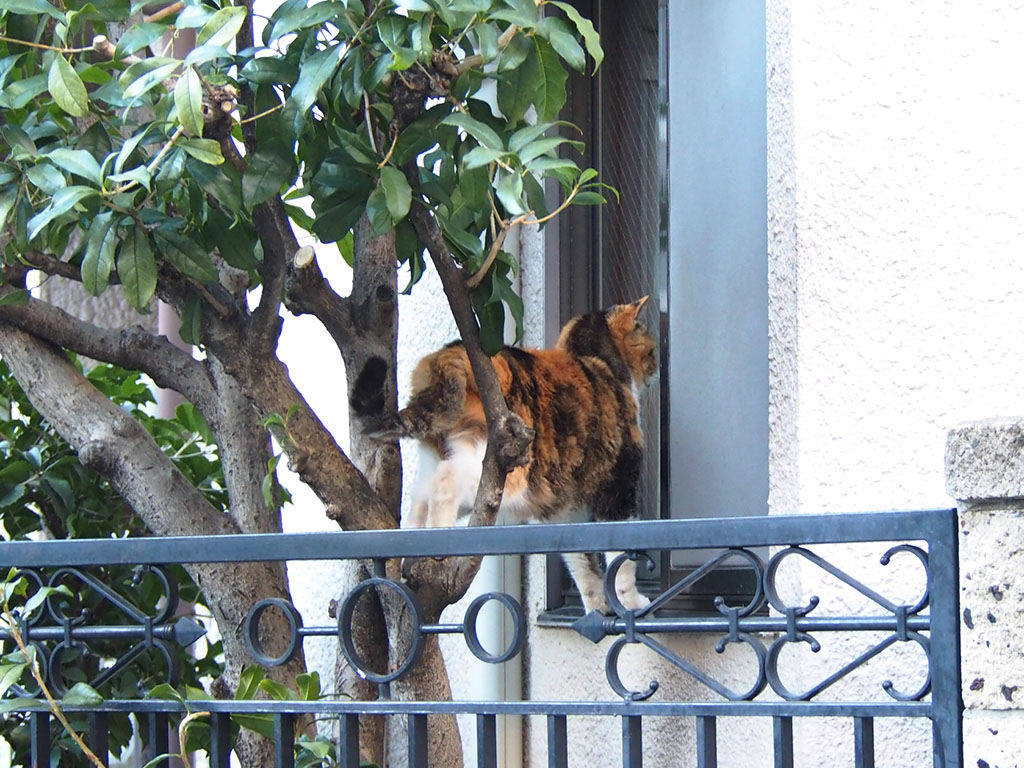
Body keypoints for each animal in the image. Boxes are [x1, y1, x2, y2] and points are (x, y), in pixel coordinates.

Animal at [364, 296, 659, 618]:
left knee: (420, 494)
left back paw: (413, 551)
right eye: (652, 348)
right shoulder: (618, 487)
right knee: (443, 482)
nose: (658, 367)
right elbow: (621, 557)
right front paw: (631, 603)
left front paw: (598, 607)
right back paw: (439, 539)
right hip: (502, 471)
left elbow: (582, 562)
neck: (598, 363)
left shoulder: (563, 511)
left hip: (439, 456)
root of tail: (449, 356)